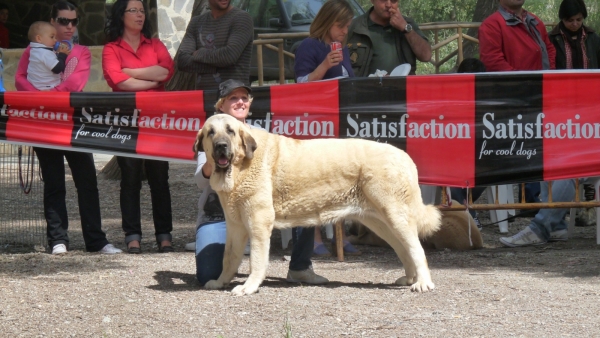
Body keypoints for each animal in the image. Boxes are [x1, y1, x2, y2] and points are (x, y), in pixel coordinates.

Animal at [197, 115, 440, 294]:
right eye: (211, 132)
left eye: (230, 131)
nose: (221, 146)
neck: (239, 167)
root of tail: (403, 155)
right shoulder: (236, 226)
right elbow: (229, 257)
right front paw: (220, 281)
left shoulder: (258, 222)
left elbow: (256, 259)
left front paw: (249, 287)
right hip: (380, 221)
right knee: (403, 247)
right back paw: (409, 278)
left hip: (395, 215)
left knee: (416, 248)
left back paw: (422, 283)